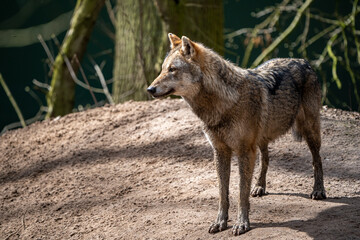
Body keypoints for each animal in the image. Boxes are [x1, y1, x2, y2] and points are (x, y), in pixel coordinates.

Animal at [146, 32, 326, 235]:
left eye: (172, 69)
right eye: (162, 69)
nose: (149, 89)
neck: (223, 103)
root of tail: (303, 61)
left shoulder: (244, 151)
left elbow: (241, 192)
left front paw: (242, 223)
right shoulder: (220, 151)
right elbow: (222, 193)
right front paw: (220, 222)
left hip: (310, 131)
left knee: (317, 160)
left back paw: (318, 190)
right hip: (261, 139)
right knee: (266, 159)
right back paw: (259, 186)